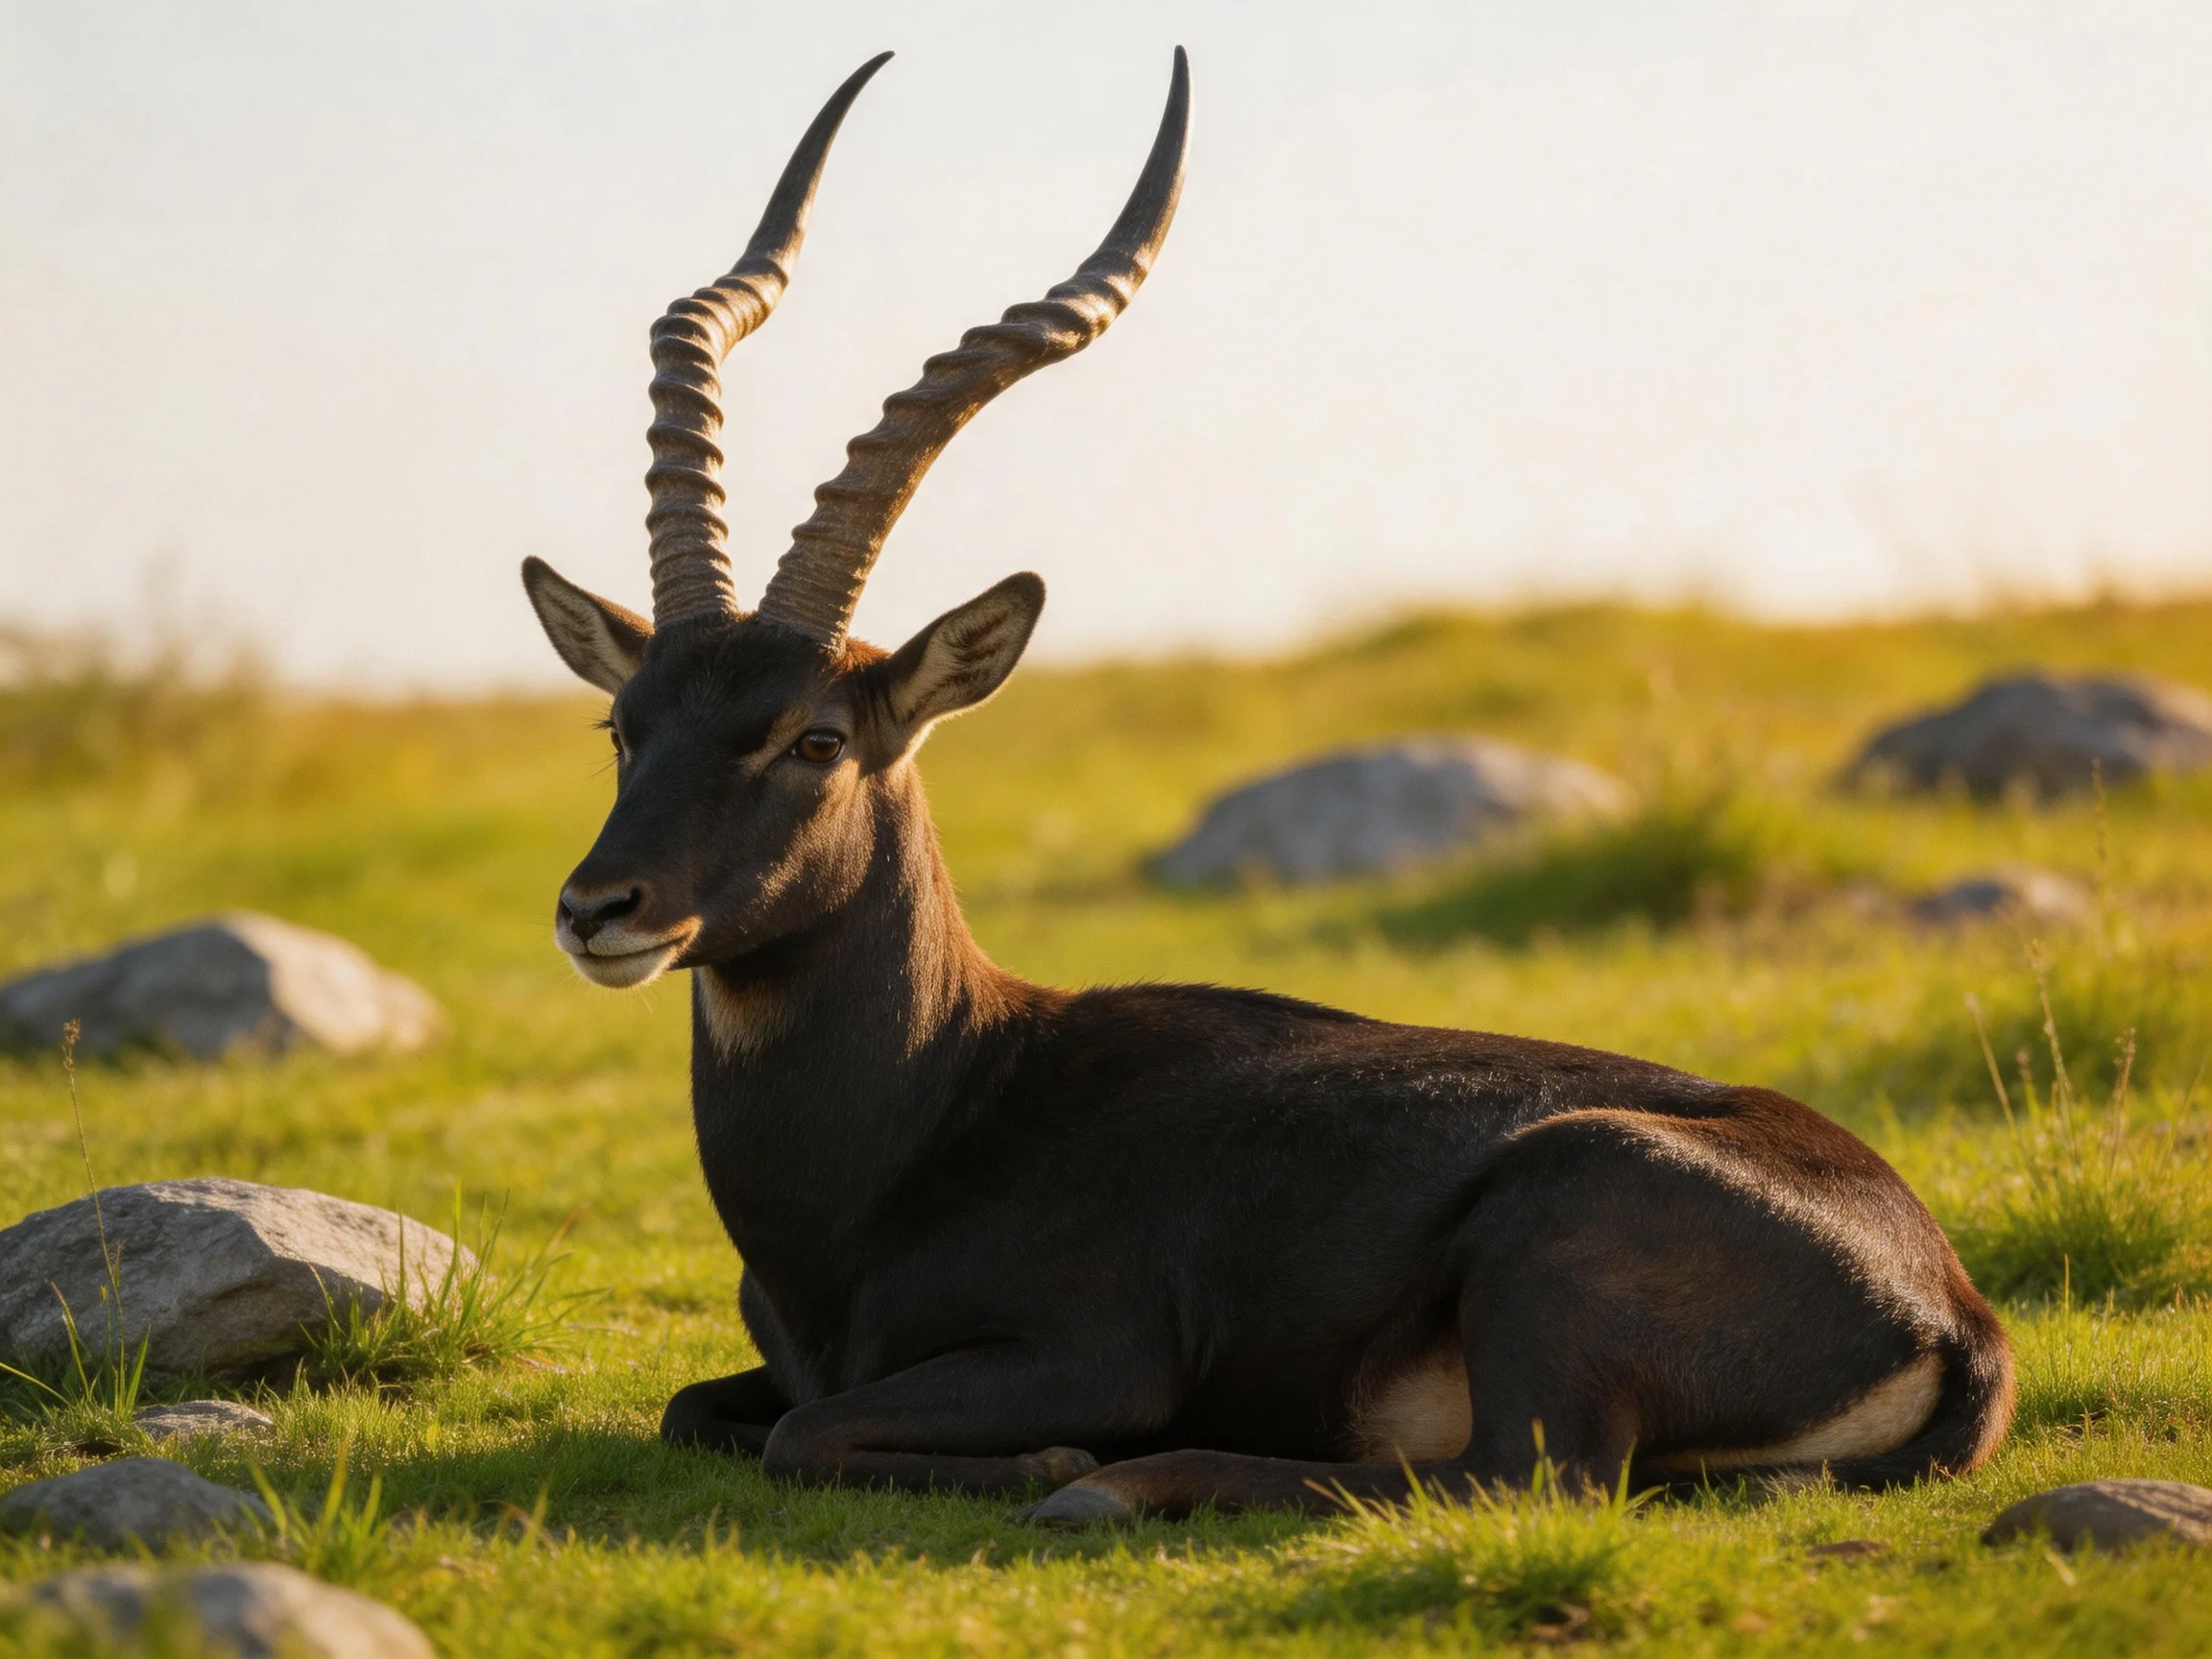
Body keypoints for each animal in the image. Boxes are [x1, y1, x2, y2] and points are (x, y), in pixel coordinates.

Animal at [522, 50, 2013, 1524]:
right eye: (622, 724)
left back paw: (1109, 1486)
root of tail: (1948, 1303)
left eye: (814, 738)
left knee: (1510, 1478)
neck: (944, 1101)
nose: (600, 909)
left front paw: (1056, 1462)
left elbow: (806, 1431)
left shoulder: (1087, 1353)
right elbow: (702, 1409)